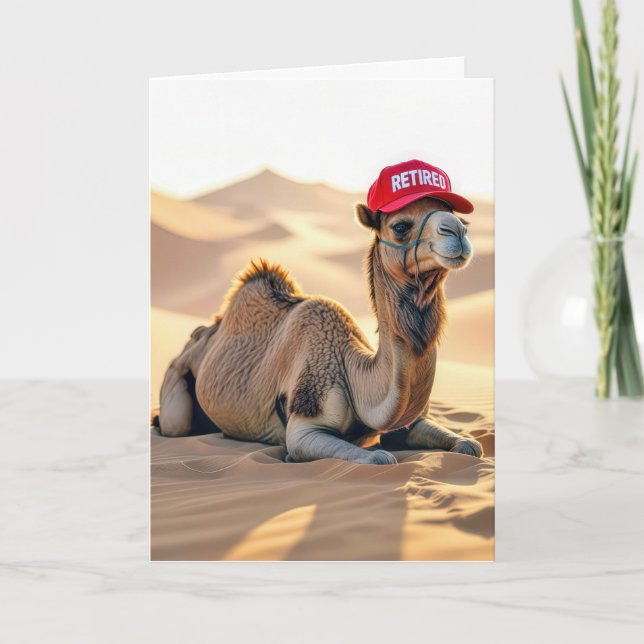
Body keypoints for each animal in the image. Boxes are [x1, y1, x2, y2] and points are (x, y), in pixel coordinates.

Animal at [156, 196, 483, 464]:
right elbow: (380, 457)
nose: (458, 231)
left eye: (462, 219)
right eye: (400, 226)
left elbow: (470, 446)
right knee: (173, 424)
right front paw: (291, 457)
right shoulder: (306, 421)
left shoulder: (409, 422)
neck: (356, 375)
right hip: (176, 382)